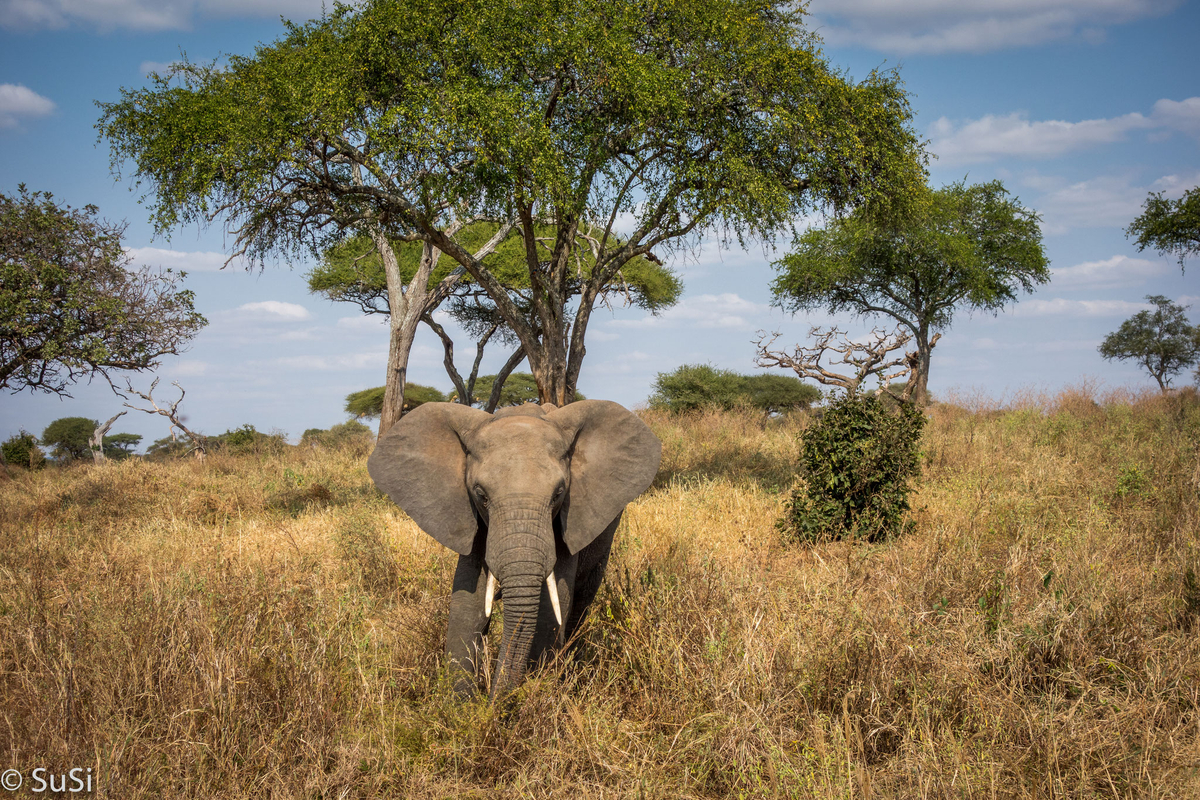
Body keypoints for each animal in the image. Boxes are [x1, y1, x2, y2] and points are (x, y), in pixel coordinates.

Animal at [367, 400, 662, 700]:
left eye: (558, 494)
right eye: (481, 495)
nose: (491, 700)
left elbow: (553, 605)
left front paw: (527, 697)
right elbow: (467, 602)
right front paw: (461, 704)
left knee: (581, 600)